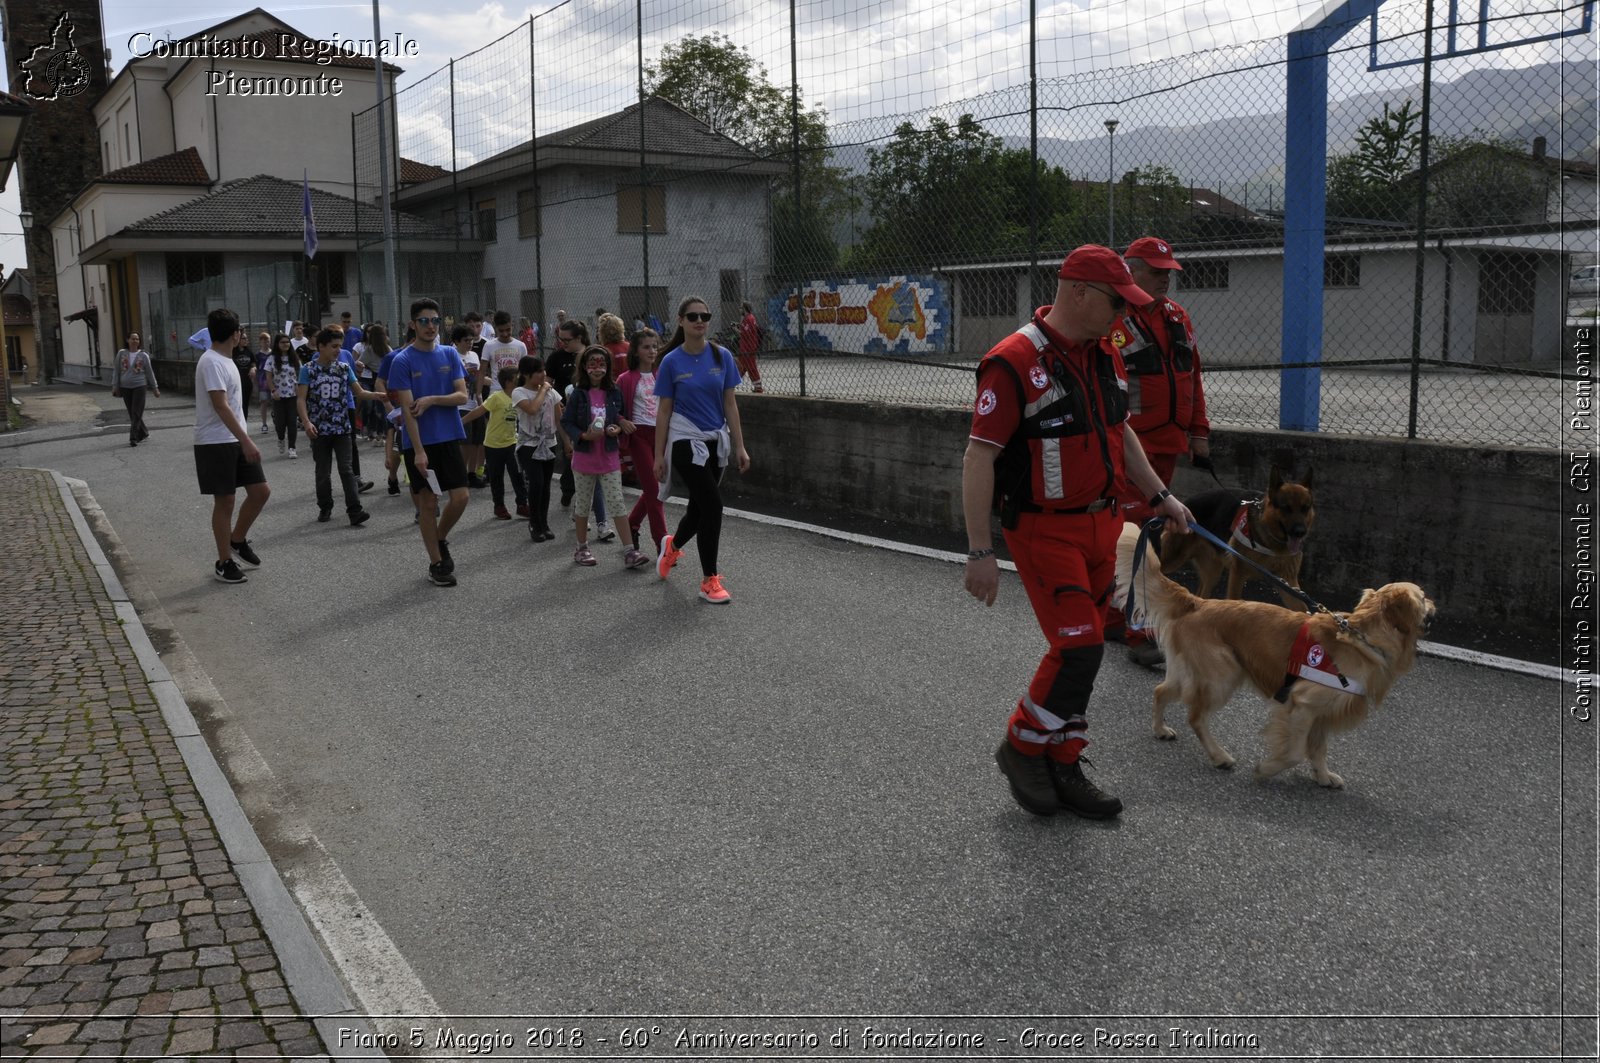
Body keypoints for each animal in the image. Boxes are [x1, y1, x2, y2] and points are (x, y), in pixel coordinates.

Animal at [1113, 521, 1440, 787]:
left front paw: (1323, 776)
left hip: (1192, 671)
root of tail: (1198, 602)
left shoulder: (1323, 712)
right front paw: (1267, 769)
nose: (1435, 606)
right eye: (1424, 597)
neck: (1363, 637)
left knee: (1161, 690)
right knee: (1195, 716)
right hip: (1223, 674)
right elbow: (1295, 751)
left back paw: (1160, 729)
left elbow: (1318, 749)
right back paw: (1219, 756)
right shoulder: (1304, 703)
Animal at [1158, 464, 1318, 605]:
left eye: (1305, 508)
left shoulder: (1288, 582)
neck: (1271, 542)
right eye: (1286, 508)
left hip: (1212, 572)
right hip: (1173, 560)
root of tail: (1183, 504)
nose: (1300, 532)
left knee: (1201, 596)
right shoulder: (1237, 575)